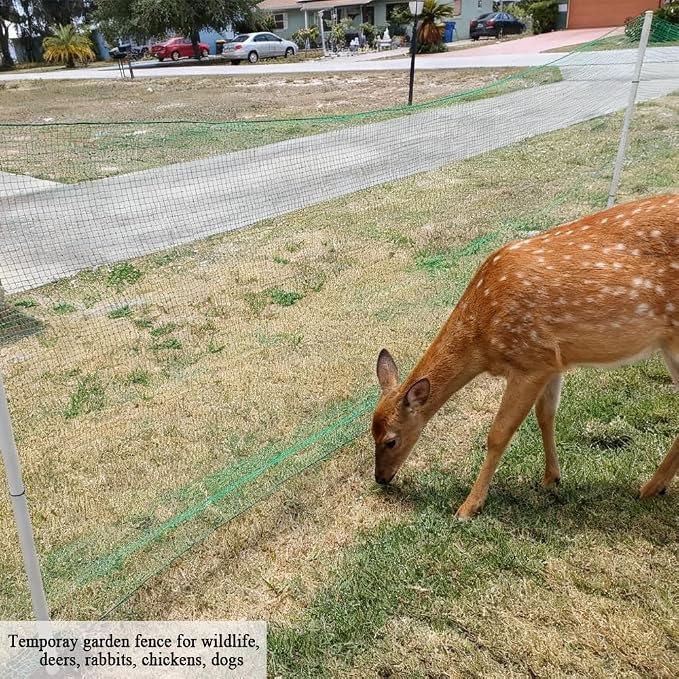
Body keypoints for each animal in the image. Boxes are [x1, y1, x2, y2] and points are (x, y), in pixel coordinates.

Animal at [372, 195, 679, 519]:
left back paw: (649, 487)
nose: (380, 478)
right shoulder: (551, 361)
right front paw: (551, 478)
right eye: (370, 431)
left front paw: (468, 506)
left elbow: (498, 433)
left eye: (391, 440)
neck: (482, 340)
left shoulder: (529, 359)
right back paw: (655, 486)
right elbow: (546, 415)